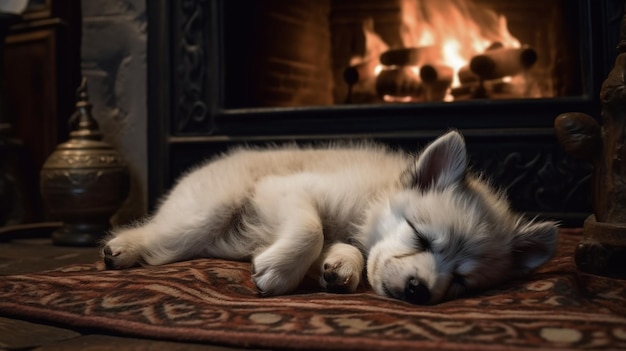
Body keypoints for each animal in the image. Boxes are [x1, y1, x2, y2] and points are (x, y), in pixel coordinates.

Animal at [102, 131, 556, 306]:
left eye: (462, 281)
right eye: (420, 236)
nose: (419, 291)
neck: (371, 200)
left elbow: (337, 247)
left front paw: (340, 267)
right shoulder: (284, 191)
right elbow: (312, 228)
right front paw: (281, 272)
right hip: (208, 213)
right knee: (158, 235)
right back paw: (123, 248)